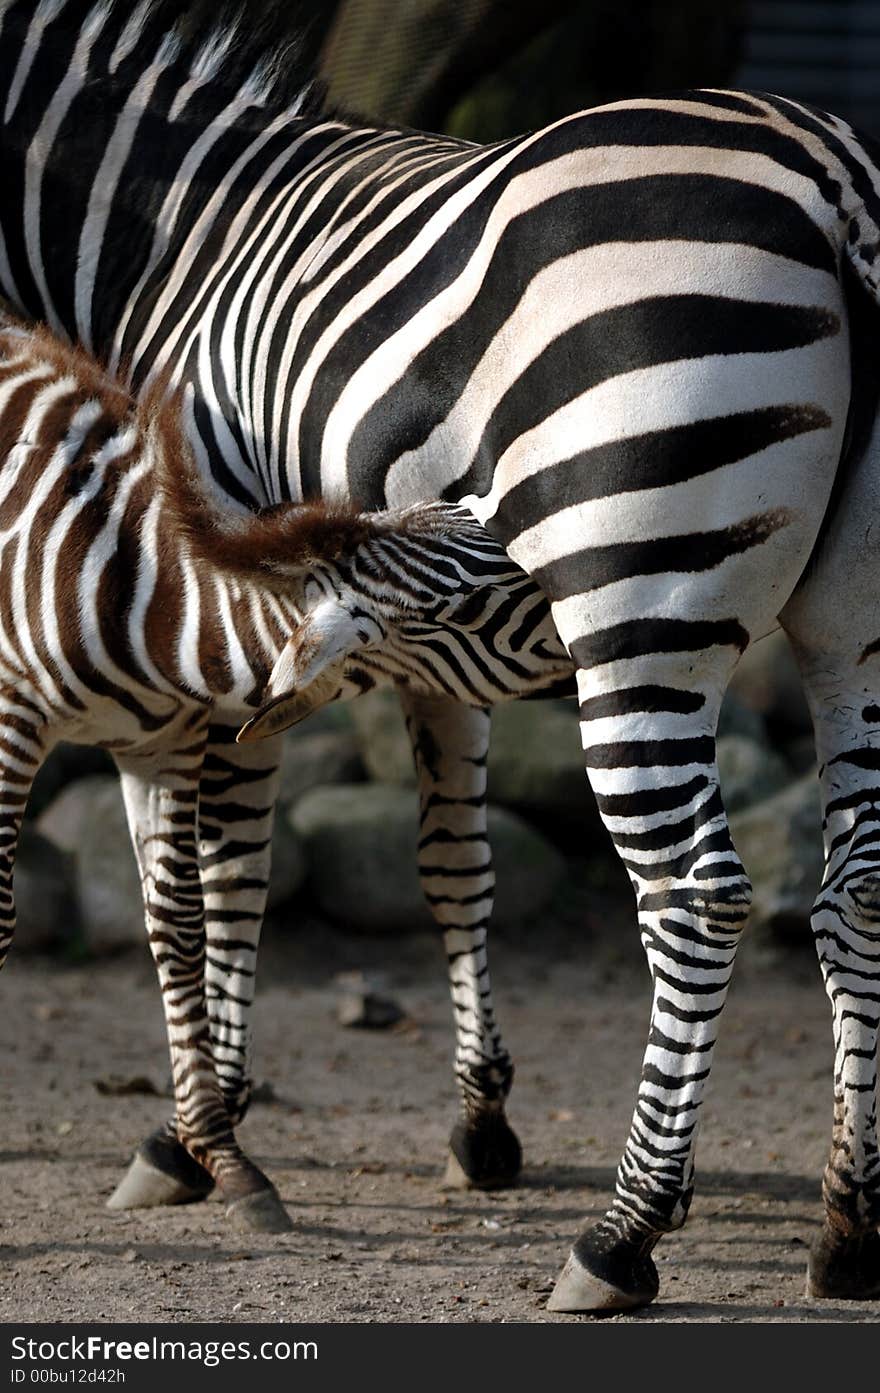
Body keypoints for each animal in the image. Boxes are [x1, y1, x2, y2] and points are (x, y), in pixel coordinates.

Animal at [1, 0, 880, 1309]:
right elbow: (454, 866)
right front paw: (481, 1123)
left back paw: (621, 1235)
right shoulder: (423, 648)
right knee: (852, 887)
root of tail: (835, 184)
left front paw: (199, 1134)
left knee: (695, 893)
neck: (165, 243)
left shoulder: (227, 616)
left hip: (637, 602)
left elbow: (220, 874)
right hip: (850, 626)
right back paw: (847, 1222)